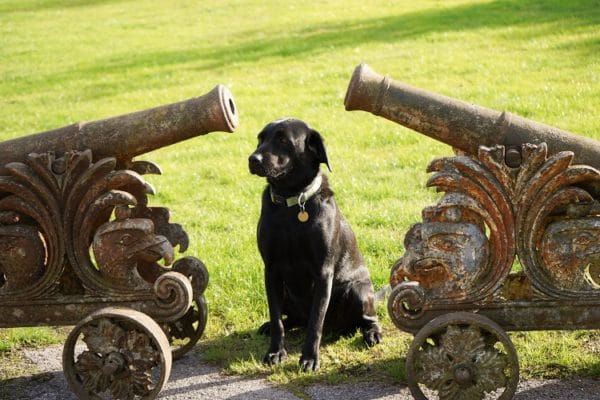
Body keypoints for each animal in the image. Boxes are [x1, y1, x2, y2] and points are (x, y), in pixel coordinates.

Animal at [250, 118, 382, 372]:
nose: (253, 159)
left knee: (368, 319)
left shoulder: (323, 273)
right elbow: (276, 316)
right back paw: (270, 326)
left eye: (283, 139)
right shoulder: (271, 270)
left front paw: (310, 358)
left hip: (358, 291)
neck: (292, 204)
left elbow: (315, 322)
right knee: (290, 319)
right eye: (260, 139)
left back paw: (372, 334)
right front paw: (275, 352)